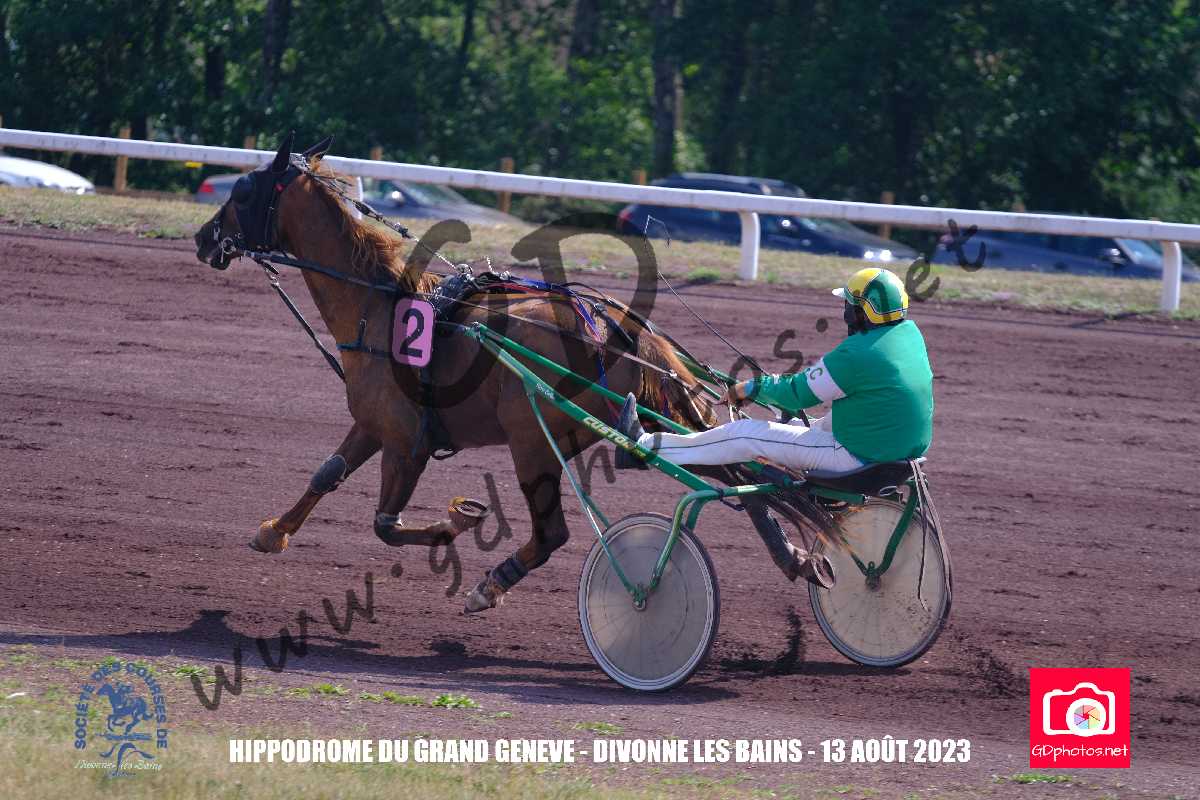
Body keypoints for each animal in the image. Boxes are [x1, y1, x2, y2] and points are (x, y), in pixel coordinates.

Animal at [193, 133, 720, 612]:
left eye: (242, 190)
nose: (202, 238)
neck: (377, 308)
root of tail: (617, 331)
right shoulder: (373, 423)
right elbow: (327, 474)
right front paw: (274, 531)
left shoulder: (408, 442)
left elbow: (386, 524)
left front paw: (456, 523)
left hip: (531, 441)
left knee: (552, 533)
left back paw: (493, 584)